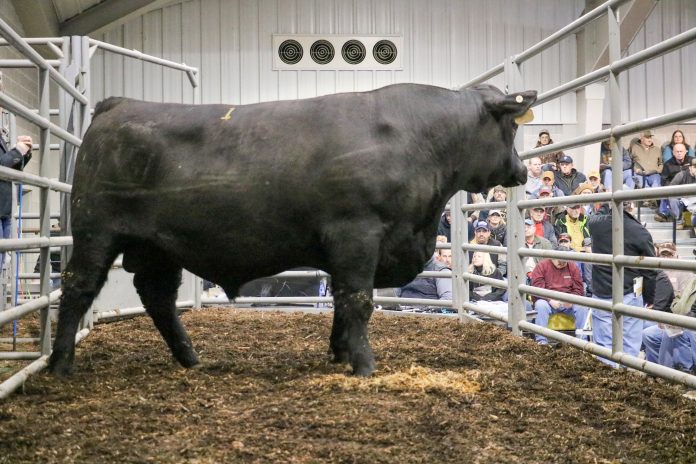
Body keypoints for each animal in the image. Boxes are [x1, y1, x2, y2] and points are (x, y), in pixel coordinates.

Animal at [48, 83, 535, 377]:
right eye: (511, 128)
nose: (523, 171)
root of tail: (119, 105)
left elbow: (341, 301)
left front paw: (339, 352)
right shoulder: (357, 234)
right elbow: (359, 301)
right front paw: (364, 365)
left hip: (158, 247)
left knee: (158, 298)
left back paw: (190, 357)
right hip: (96, 233)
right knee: (77, 287)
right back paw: (59, 363)